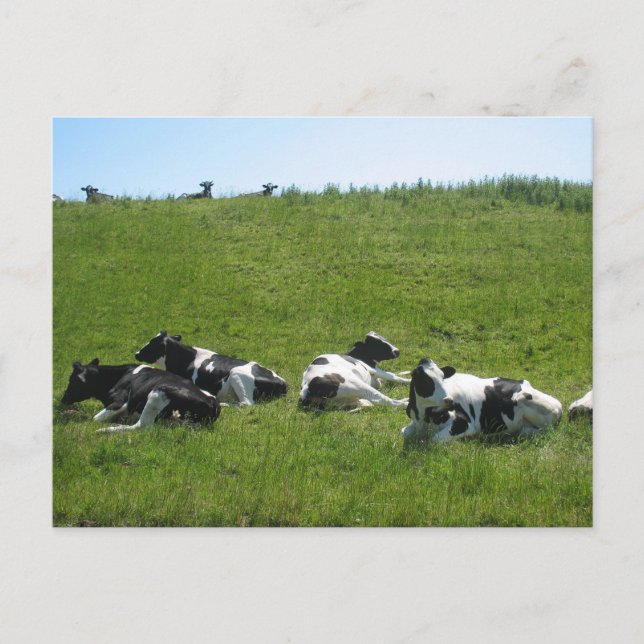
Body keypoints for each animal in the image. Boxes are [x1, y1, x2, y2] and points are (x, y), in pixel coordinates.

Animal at [61, 358, 220, 433]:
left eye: (71, 380)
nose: (63, 399)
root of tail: (213, 402)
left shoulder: (120, 403)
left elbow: (93, 418)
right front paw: (70, 413)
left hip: (157, 393)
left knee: (142, 426)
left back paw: (107, 429)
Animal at [400, 358, 562, 443]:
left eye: (443, 377)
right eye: (426, 381)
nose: (449, 400)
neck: (422, 416)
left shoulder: (465, 423)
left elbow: (435, 439)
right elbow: (403, 432)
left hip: (527, 401)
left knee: (542, 430)